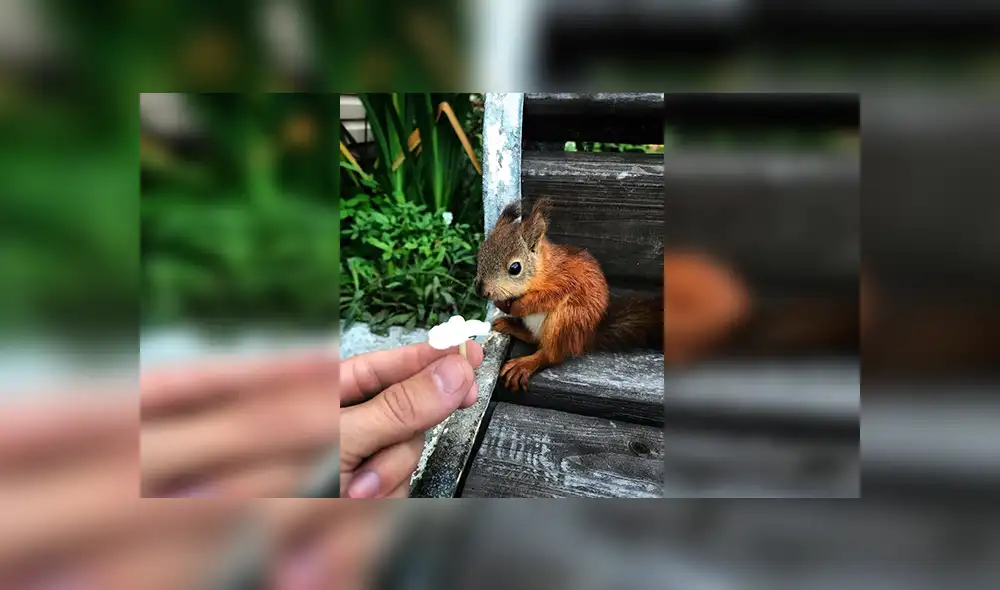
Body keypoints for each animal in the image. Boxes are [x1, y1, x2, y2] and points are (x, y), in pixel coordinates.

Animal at [475, 198, 752, 391]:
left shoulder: (565, 282)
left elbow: (544, 298)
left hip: (566, 320)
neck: (543, 271)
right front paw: (502, 304)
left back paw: (527, 362)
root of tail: (586, 337)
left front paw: (517, 305)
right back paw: (513, 327)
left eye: (515, 268)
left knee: (551, 354)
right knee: (534, 338)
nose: (481, 290)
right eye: (481, 252)